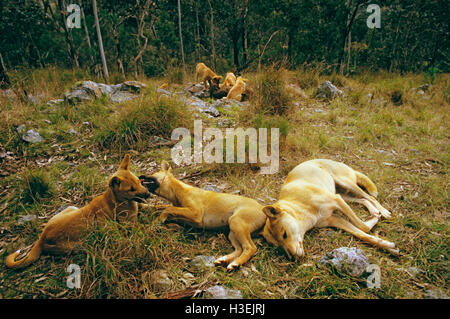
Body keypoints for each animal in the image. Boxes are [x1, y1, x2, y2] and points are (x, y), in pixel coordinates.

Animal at [5, 154, 149, 268]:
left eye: (139, 181)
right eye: (131, 189)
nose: (148, 194)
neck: (116, 201)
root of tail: (42, 237)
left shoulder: (140, 208)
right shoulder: (130, 225)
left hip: (72, 207)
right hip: (78, 245)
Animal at [140, 162, 268, 270]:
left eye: (152, 174)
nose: (140, 176)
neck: (178, 190)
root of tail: (263, 210)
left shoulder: (195, 213)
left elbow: (168, 208)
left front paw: (158, 220)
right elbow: (161, 206)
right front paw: (144, 206)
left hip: (236, 222)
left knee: (250, 248)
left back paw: (236, 263)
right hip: (232, 232)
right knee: (239, 249)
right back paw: (225, 260)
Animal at [262, 159, 400, 258]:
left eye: (284, 234)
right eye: (279, 246)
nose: (292, 258)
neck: (300, 207)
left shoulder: (336, 201)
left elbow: (363, 227)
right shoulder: (335, 219)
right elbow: (362, 234)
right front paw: (388, 246)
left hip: (345, 185)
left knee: (370, 197)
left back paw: (383, 211)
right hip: (344, 195)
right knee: (364, 200)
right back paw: (374, 211)